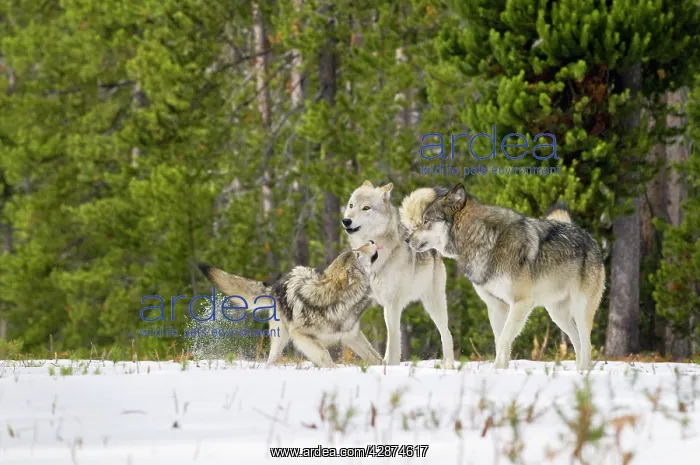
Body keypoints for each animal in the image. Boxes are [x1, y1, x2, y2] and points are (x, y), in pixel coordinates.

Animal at [197, 241, 383, 368]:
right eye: (357, 254)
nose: (372, 241)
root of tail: (276, 284)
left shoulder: (351, 335)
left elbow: (376, 357)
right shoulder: (301, 336)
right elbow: (325, 356)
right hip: (281, 337)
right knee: (271, 358)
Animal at [342, 181, 455, 369]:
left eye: (366, 208)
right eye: (351, 205)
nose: (346, 220)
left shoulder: (392, 303)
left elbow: (393, 335)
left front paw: (391, 365)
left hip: (433, 304)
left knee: (446, 334)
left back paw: (449, 366)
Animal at [405, 183, 605, 371]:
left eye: (425, 221)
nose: (406, 239)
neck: (483, 239)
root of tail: (590, 238)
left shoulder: (521, 303)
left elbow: (503, 340)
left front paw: (495, 370)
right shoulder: (496, 306)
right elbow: (499, 340)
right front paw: (500, 370)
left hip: (580, 309)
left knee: (586, 342)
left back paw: (584, 372)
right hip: (557, 314)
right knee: (577, 341)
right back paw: (578, 371)